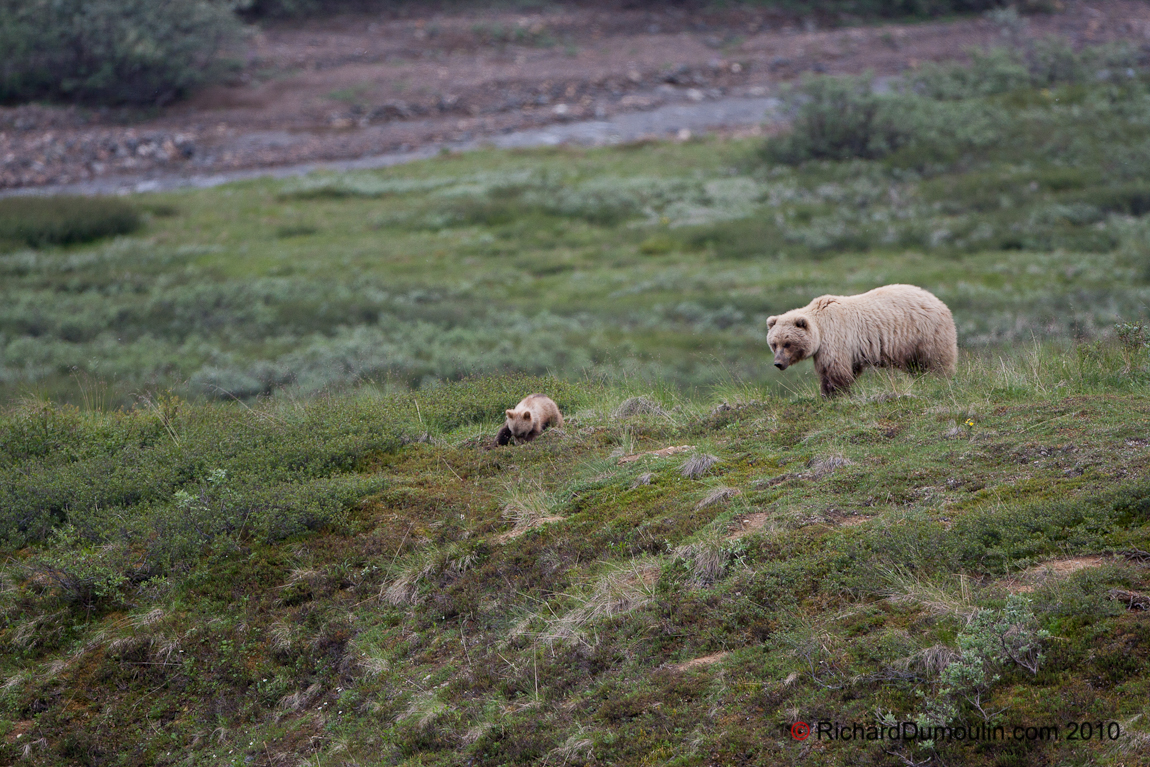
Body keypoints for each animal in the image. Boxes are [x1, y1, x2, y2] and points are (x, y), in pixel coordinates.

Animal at [768, 285, 956, 400]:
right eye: (774, 344)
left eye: (787, 343)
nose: (778, 363)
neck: (820, 329)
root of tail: (940, 302)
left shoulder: (836, 337)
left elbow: (835, 370)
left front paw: (834, 394)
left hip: (927, 334)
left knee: (937, 362)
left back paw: (941, 380)